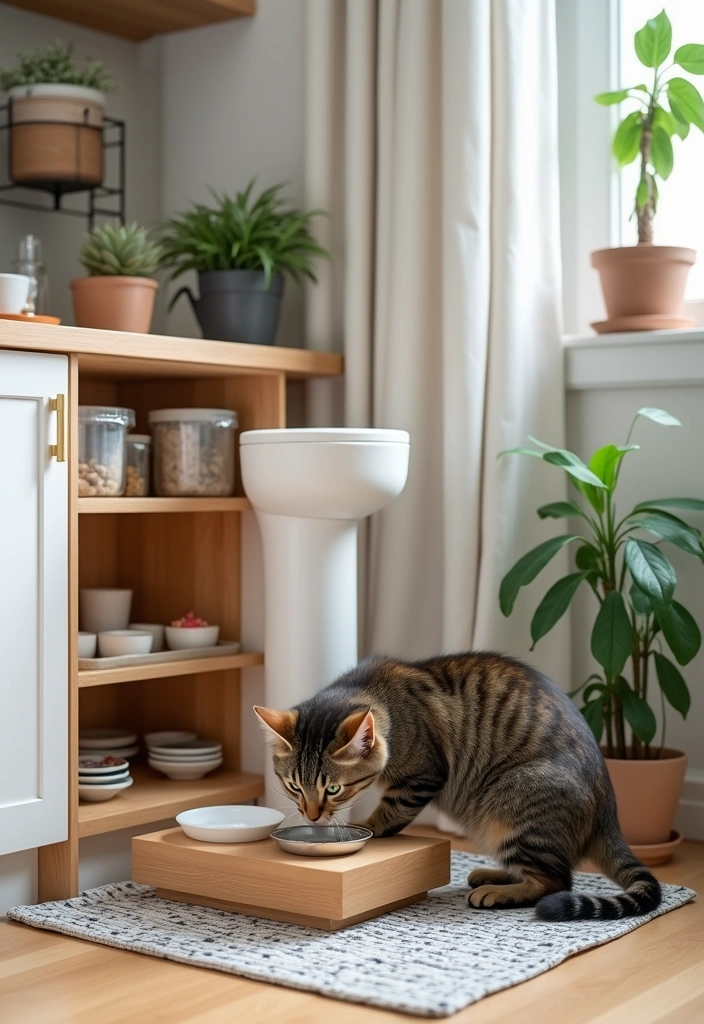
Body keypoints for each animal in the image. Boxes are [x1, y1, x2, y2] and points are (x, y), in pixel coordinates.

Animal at [255, 651, 663, 925]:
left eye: (334, 790)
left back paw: (497, 892)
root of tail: (608, 809)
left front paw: (367, 827)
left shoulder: (422, 777)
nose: (312, 816)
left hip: (514, 803)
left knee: (555, 880)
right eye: (293, 787)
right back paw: (492, 875)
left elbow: (389, 813)